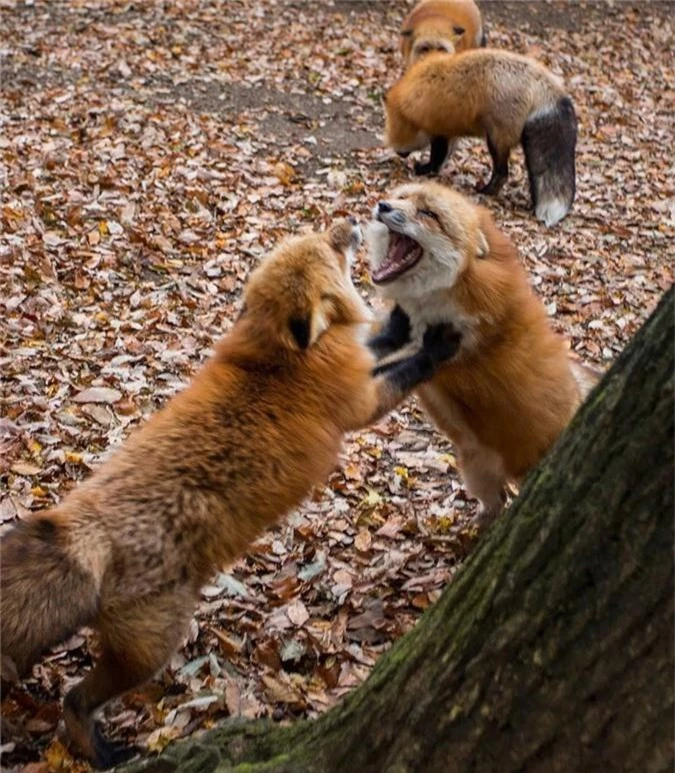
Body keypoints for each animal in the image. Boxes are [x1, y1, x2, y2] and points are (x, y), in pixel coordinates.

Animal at [0, 217, 462, 764]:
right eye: (329, 248)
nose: (348, 222)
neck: (274, 358)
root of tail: (82, 528)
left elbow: (379, 342)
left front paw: (400, 323)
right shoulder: (362, 402)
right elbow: (406, 368)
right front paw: (436, 344)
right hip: (153, 646)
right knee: (75, 699)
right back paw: (99, 749)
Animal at [368, 182, 600, 524]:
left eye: (428, 214)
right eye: (401, 197)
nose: (382, 205)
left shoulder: (459, 354)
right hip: (477, 476)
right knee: (496, 504)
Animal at [382, 49, 580, 226]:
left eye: (394, 131)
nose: (399, 153)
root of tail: (551, 89)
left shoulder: (439, 128)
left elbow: (437, 156)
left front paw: (425, 170)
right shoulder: (449, 131)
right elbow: (443, 157)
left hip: (495, 139)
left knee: (502, 174)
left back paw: (486, 191)